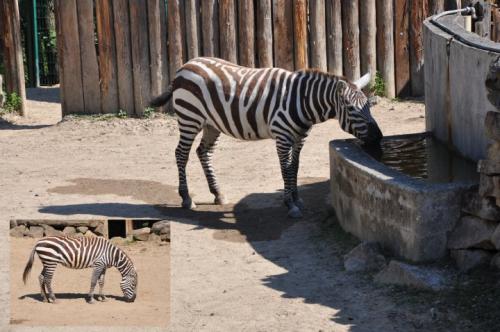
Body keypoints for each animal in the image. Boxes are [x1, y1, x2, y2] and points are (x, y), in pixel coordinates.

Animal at [149, 57, 382, 218]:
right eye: (351, 108)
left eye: (368, 106)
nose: (378, 138)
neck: (302, 100)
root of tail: (185, 65)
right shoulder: (282, 136)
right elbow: (285, 169)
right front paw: (290, 204)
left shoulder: (300, 138)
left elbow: (295, 167)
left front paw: (297, 198)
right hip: (190, 117)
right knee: (181, 154)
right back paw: (186, 198)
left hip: (210, 124)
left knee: (203, 152)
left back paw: (218, 194)